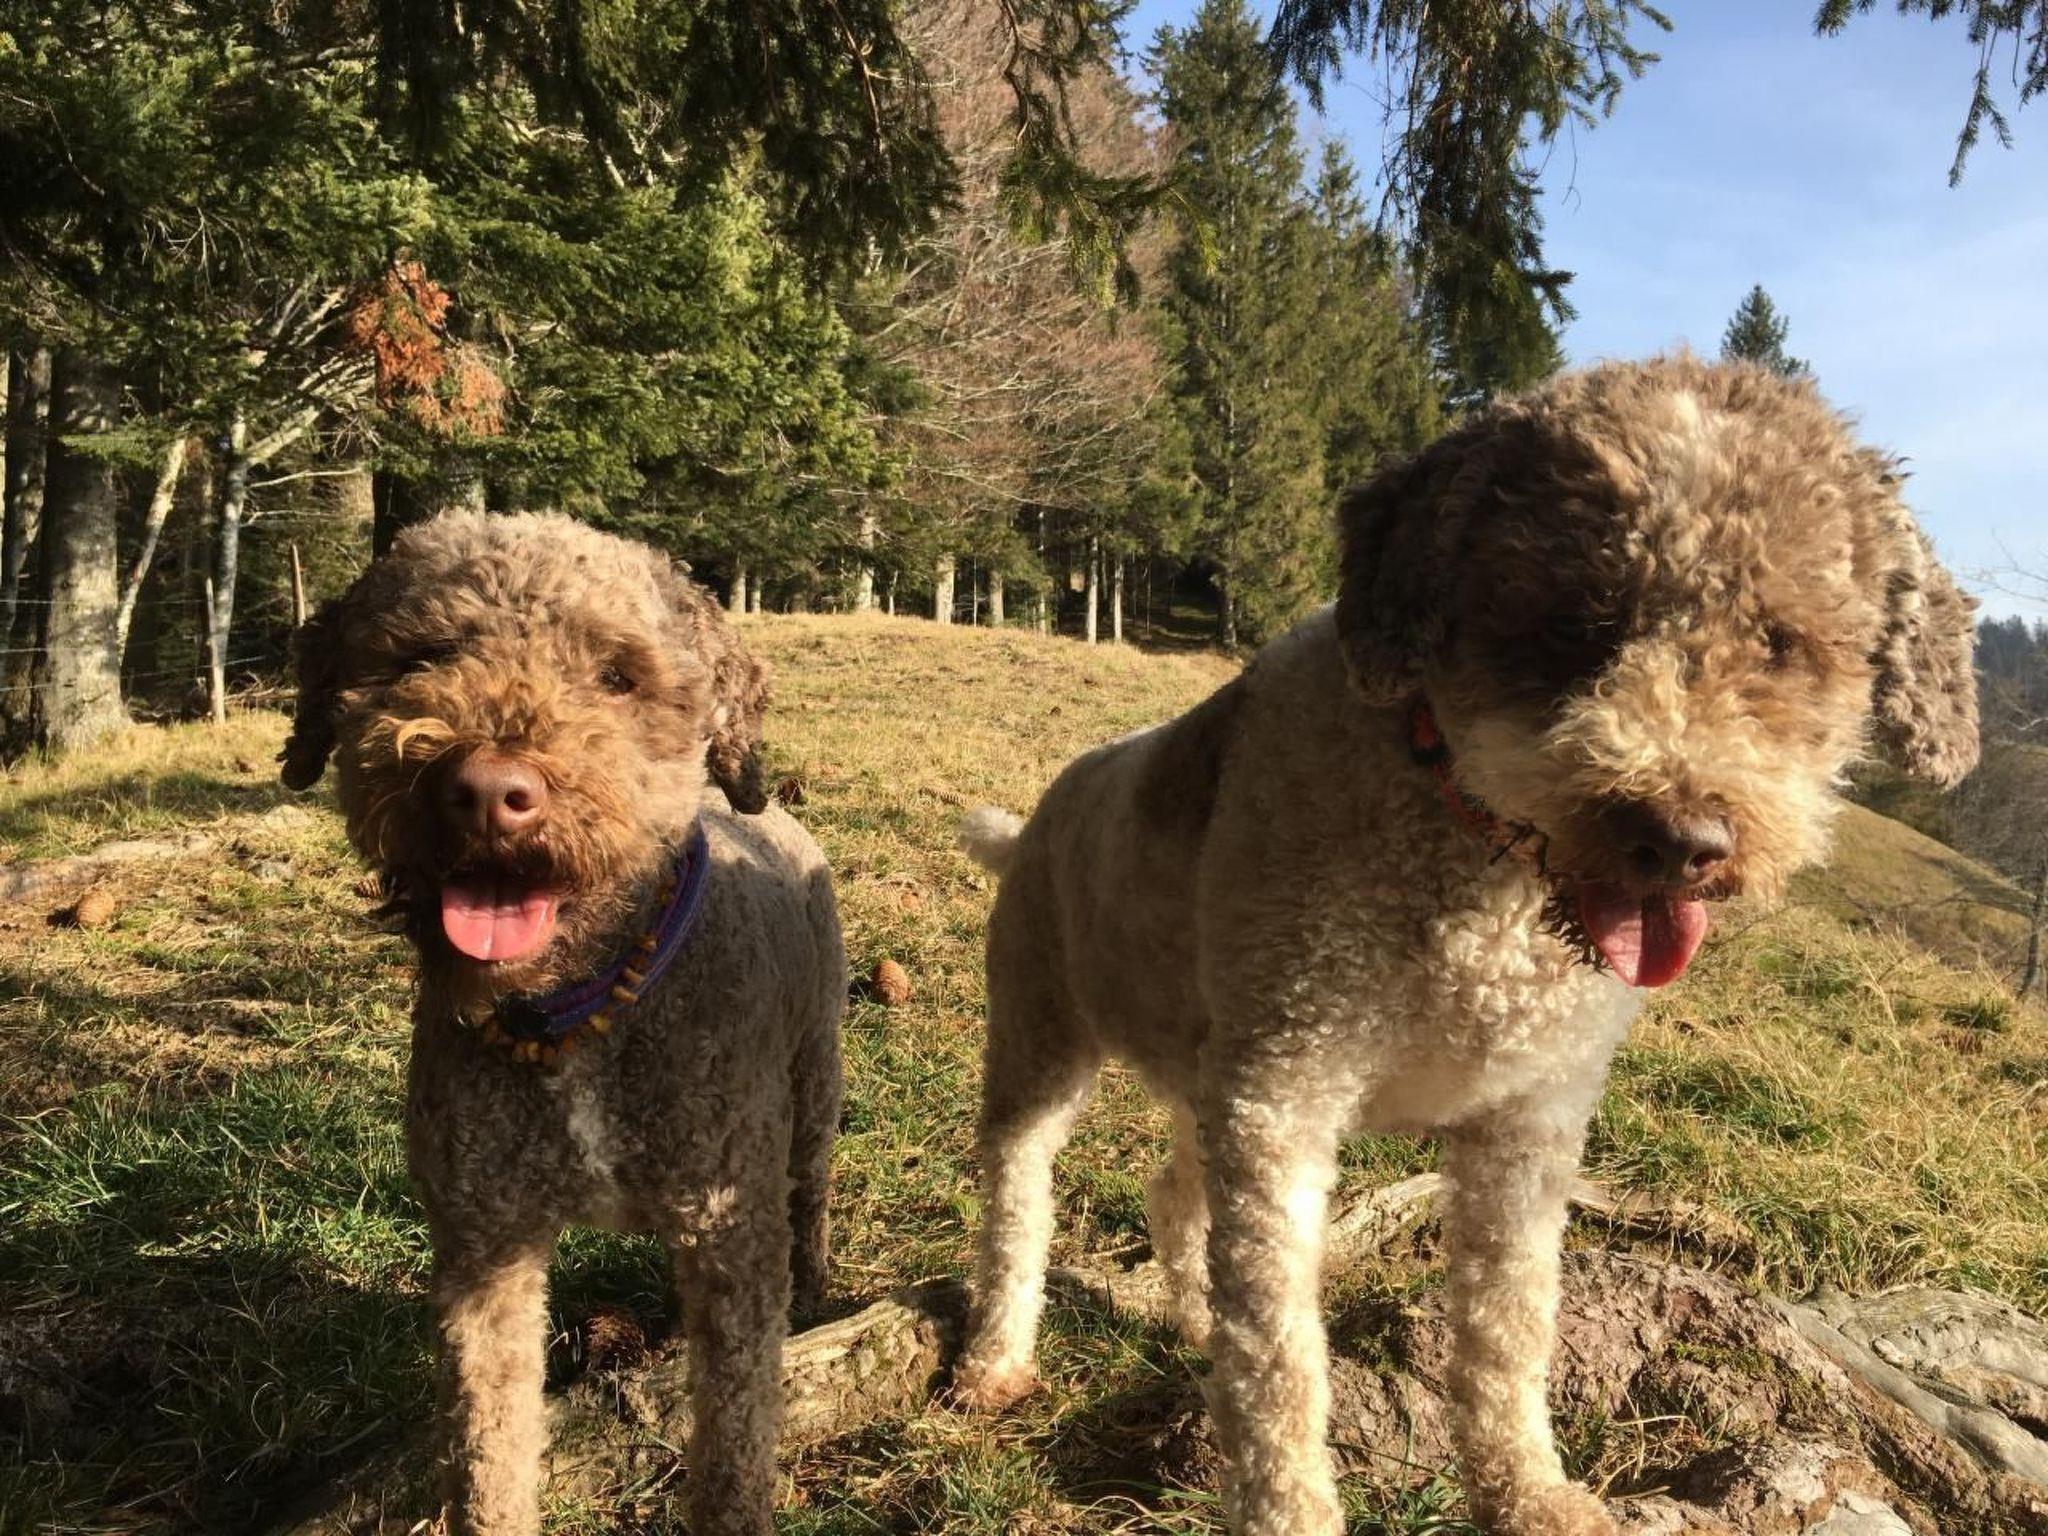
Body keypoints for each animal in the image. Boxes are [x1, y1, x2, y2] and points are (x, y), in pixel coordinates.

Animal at [281, 512, 844, 1536]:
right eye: (420, 655)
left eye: (618, 675)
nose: (486, 790)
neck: (578, 1014)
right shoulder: (484, 1246)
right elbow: (489, 1452)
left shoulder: (731, 1240)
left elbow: (735, 1449)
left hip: (816, 1066)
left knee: (810, 1182)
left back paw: (817, 1281)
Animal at [948, 356, 1979, 1535]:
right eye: (1575, 620)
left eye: (1781, 643)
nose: (1678, 840)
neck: (1476, 862)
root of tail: (1034, 818)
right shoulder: (1284, 1095)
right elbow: (1282, 1362)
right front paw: (1290, 1509)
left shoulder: (1524, 1127)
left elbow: (1507, 1329)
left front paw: (1529, 1492)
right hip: (1043, 1037)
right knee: (1019, 1196)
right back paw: (995, 1357)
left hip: (1201, 1068)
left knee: (1175, 1197)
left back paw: (1193, 1325)